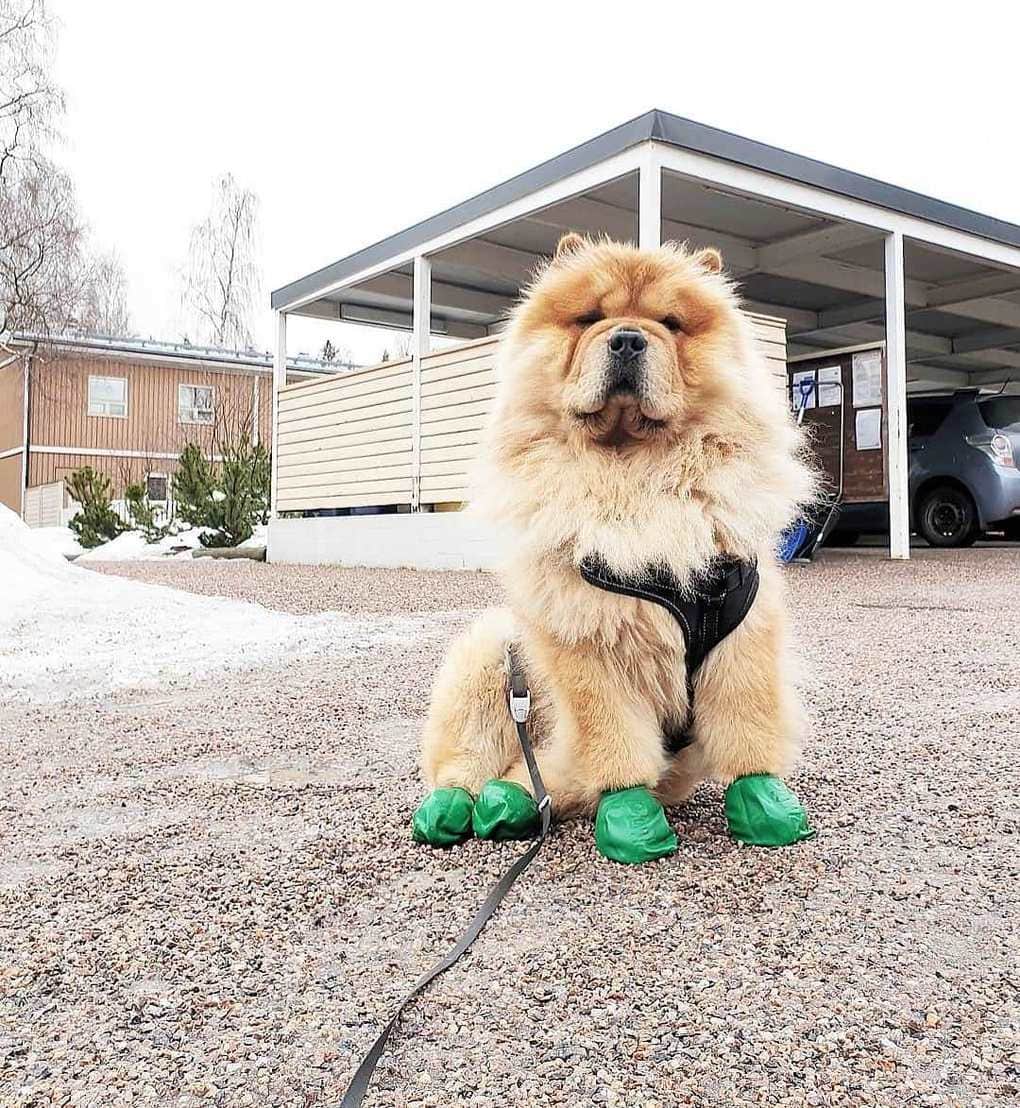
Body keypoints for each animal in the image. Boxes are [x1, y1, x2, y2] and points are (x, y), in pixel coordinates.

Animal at [413, 234, 816, 862]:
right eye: (589, 319)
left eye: (670, 324)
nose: (627, 338)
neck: (635, 475)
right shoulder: (591, 646)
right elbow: (616, 745)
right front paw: (632, 822)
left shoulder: (743, 635)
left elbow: (748, 727)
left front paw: (766, 806)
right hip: (490, 657)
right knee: (468, 762)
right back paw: (456, 809)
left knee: (539, 775)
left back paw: (512, 802)